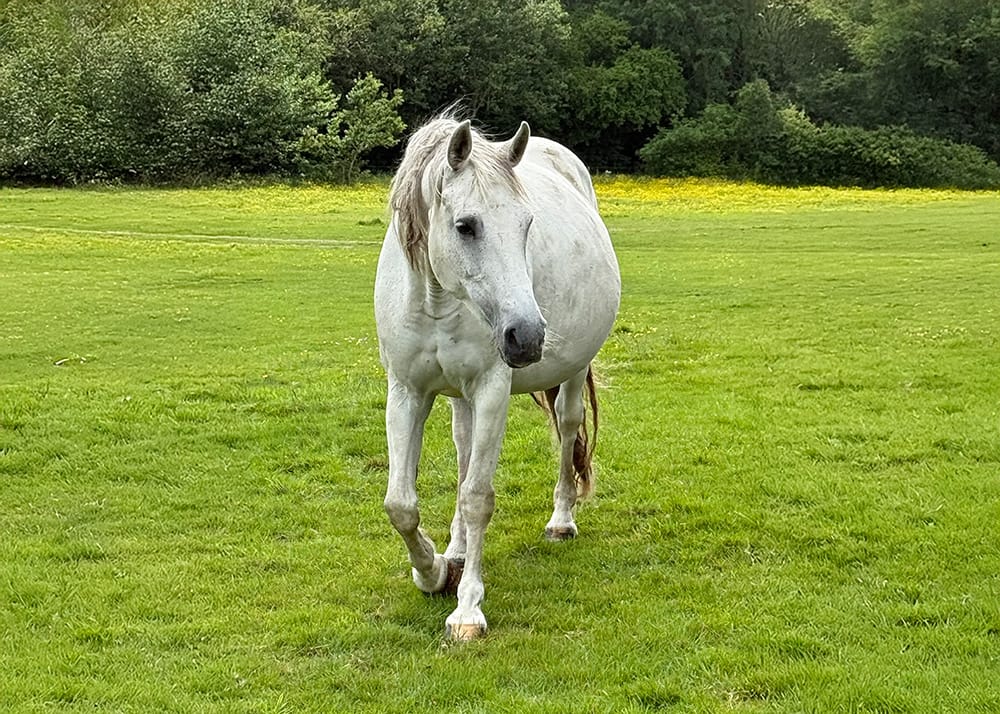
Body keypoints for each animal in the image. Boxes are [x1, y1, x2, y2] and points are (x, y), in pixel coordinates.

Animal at [374, 114, 621, 640]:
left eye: (527, 224)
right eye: (466, 226)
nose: (525, 336)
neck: (438, 300)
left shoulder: (491, 391)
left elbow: (477, 498)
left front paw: (467, 609)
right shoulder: (406, 392)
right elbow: (401, 503)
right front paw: (432, 571)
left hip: (570, 373)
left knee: (567, 427)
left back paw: (561, 520)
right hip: (458, 398)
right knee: (465, 451)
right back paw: (456, 549)